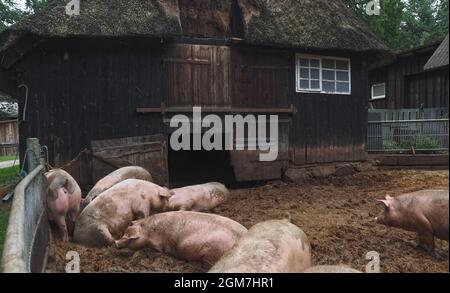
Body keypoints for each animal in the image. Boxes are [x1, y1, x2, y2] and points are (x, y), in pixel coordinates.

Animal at [112, 211, 246, 268]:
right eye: (124, 232)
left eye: (129, 238)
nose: (115, 242)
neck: (148, 232)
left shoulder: (160, 245)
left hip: (212, 252)